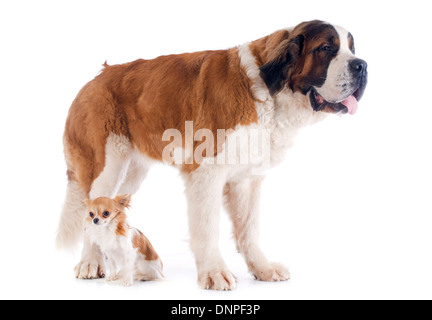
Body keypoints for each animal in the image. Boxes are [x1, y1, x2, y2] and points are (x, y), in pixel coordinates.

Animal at [56, 20, 368, 290]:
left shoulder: (246, 179)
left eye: (353, 49)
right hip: (107, 167)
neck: (267, 90)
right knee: (92, 208)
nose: (362, 65)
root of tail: (95, 78)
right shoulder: (206, 172)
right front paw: (214, 273)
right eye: (326, 48)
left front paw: (263, 269)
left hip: (131, 174)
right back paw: (90, 263)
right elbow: (207, 229)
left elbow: (249, 229)